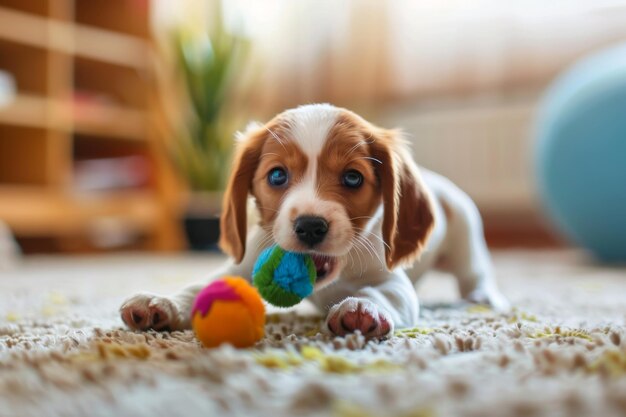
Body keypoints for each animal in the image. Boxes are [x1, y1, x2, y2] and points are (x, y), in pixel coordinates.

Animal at [120, 104, 508, 338]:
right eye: (277, 175)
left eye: (353, 178)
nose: (309, 226)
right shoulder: (240, 268)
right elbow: (199, 287)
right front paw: (160, 303)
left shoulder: (395, 284)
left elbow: (379, 293)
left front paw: (362, 308)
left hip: (467, 236)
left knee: (475, 274)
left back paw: (484, 296)